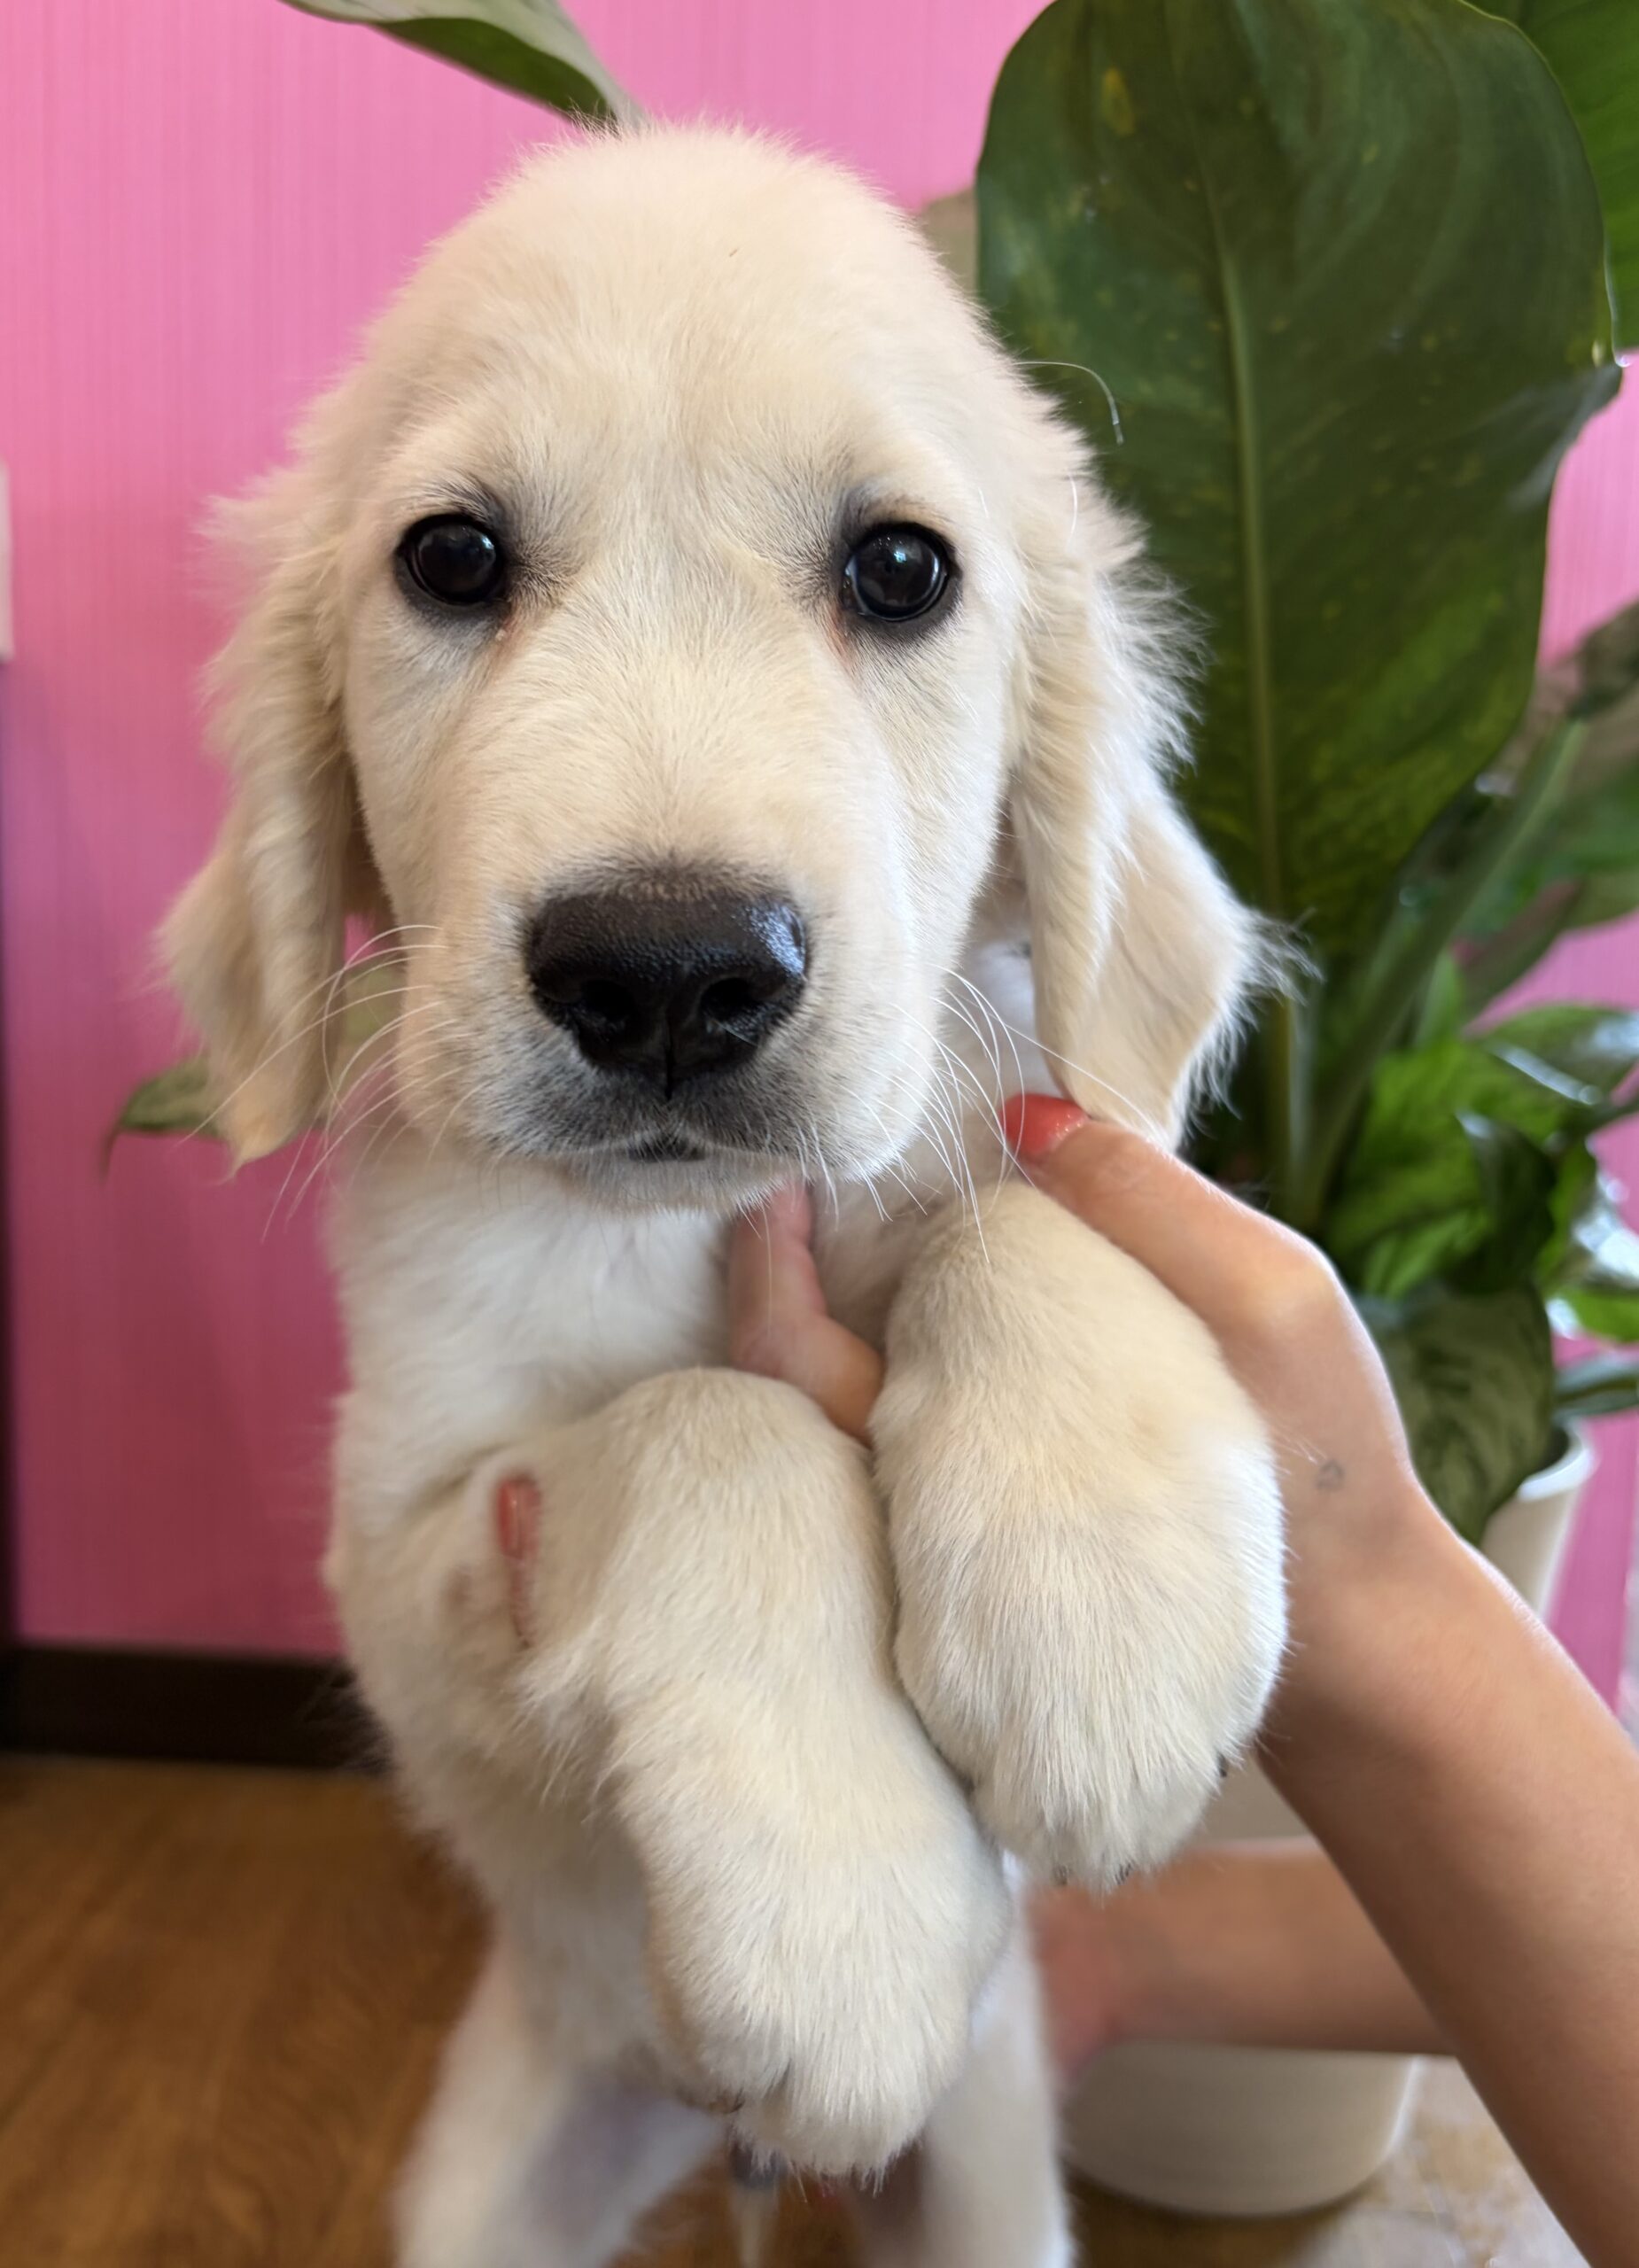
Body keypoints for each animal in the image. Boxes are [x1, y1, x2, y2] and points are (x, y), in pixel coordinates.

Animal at [163, 127, 1287, 2268]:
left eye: (901, 569)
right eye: (452, 559)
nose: (670, 974)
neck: (677, 1229)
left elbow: (1033, 1193)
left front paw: (1104, 1608)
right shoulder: (406, 1569)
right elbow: (704, 1420)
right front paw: (845, 1912)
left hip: (990, 2184)